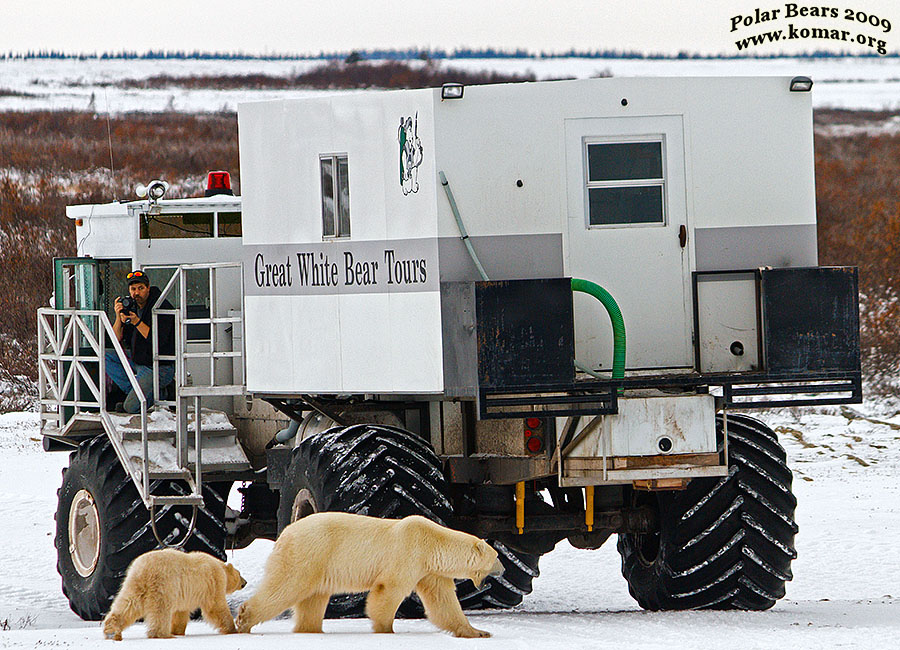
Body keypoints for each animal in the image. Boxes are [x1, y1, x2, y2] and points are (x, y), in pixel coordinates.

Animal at [236, 512, 502, 632]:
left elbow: (443, 601)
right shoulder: (408, 553)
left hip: (318, 566)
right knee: (285, 586)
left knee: (312, 600)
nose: (503, 569)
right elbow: (389, 589)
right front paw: (385, 628)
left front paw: (477, 632)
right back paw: (244, 619)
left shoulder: (428, 570)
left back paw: (310, 629)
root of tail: (285, 534)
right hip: (308, 553)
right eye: (497, 557)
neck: (432, 542)